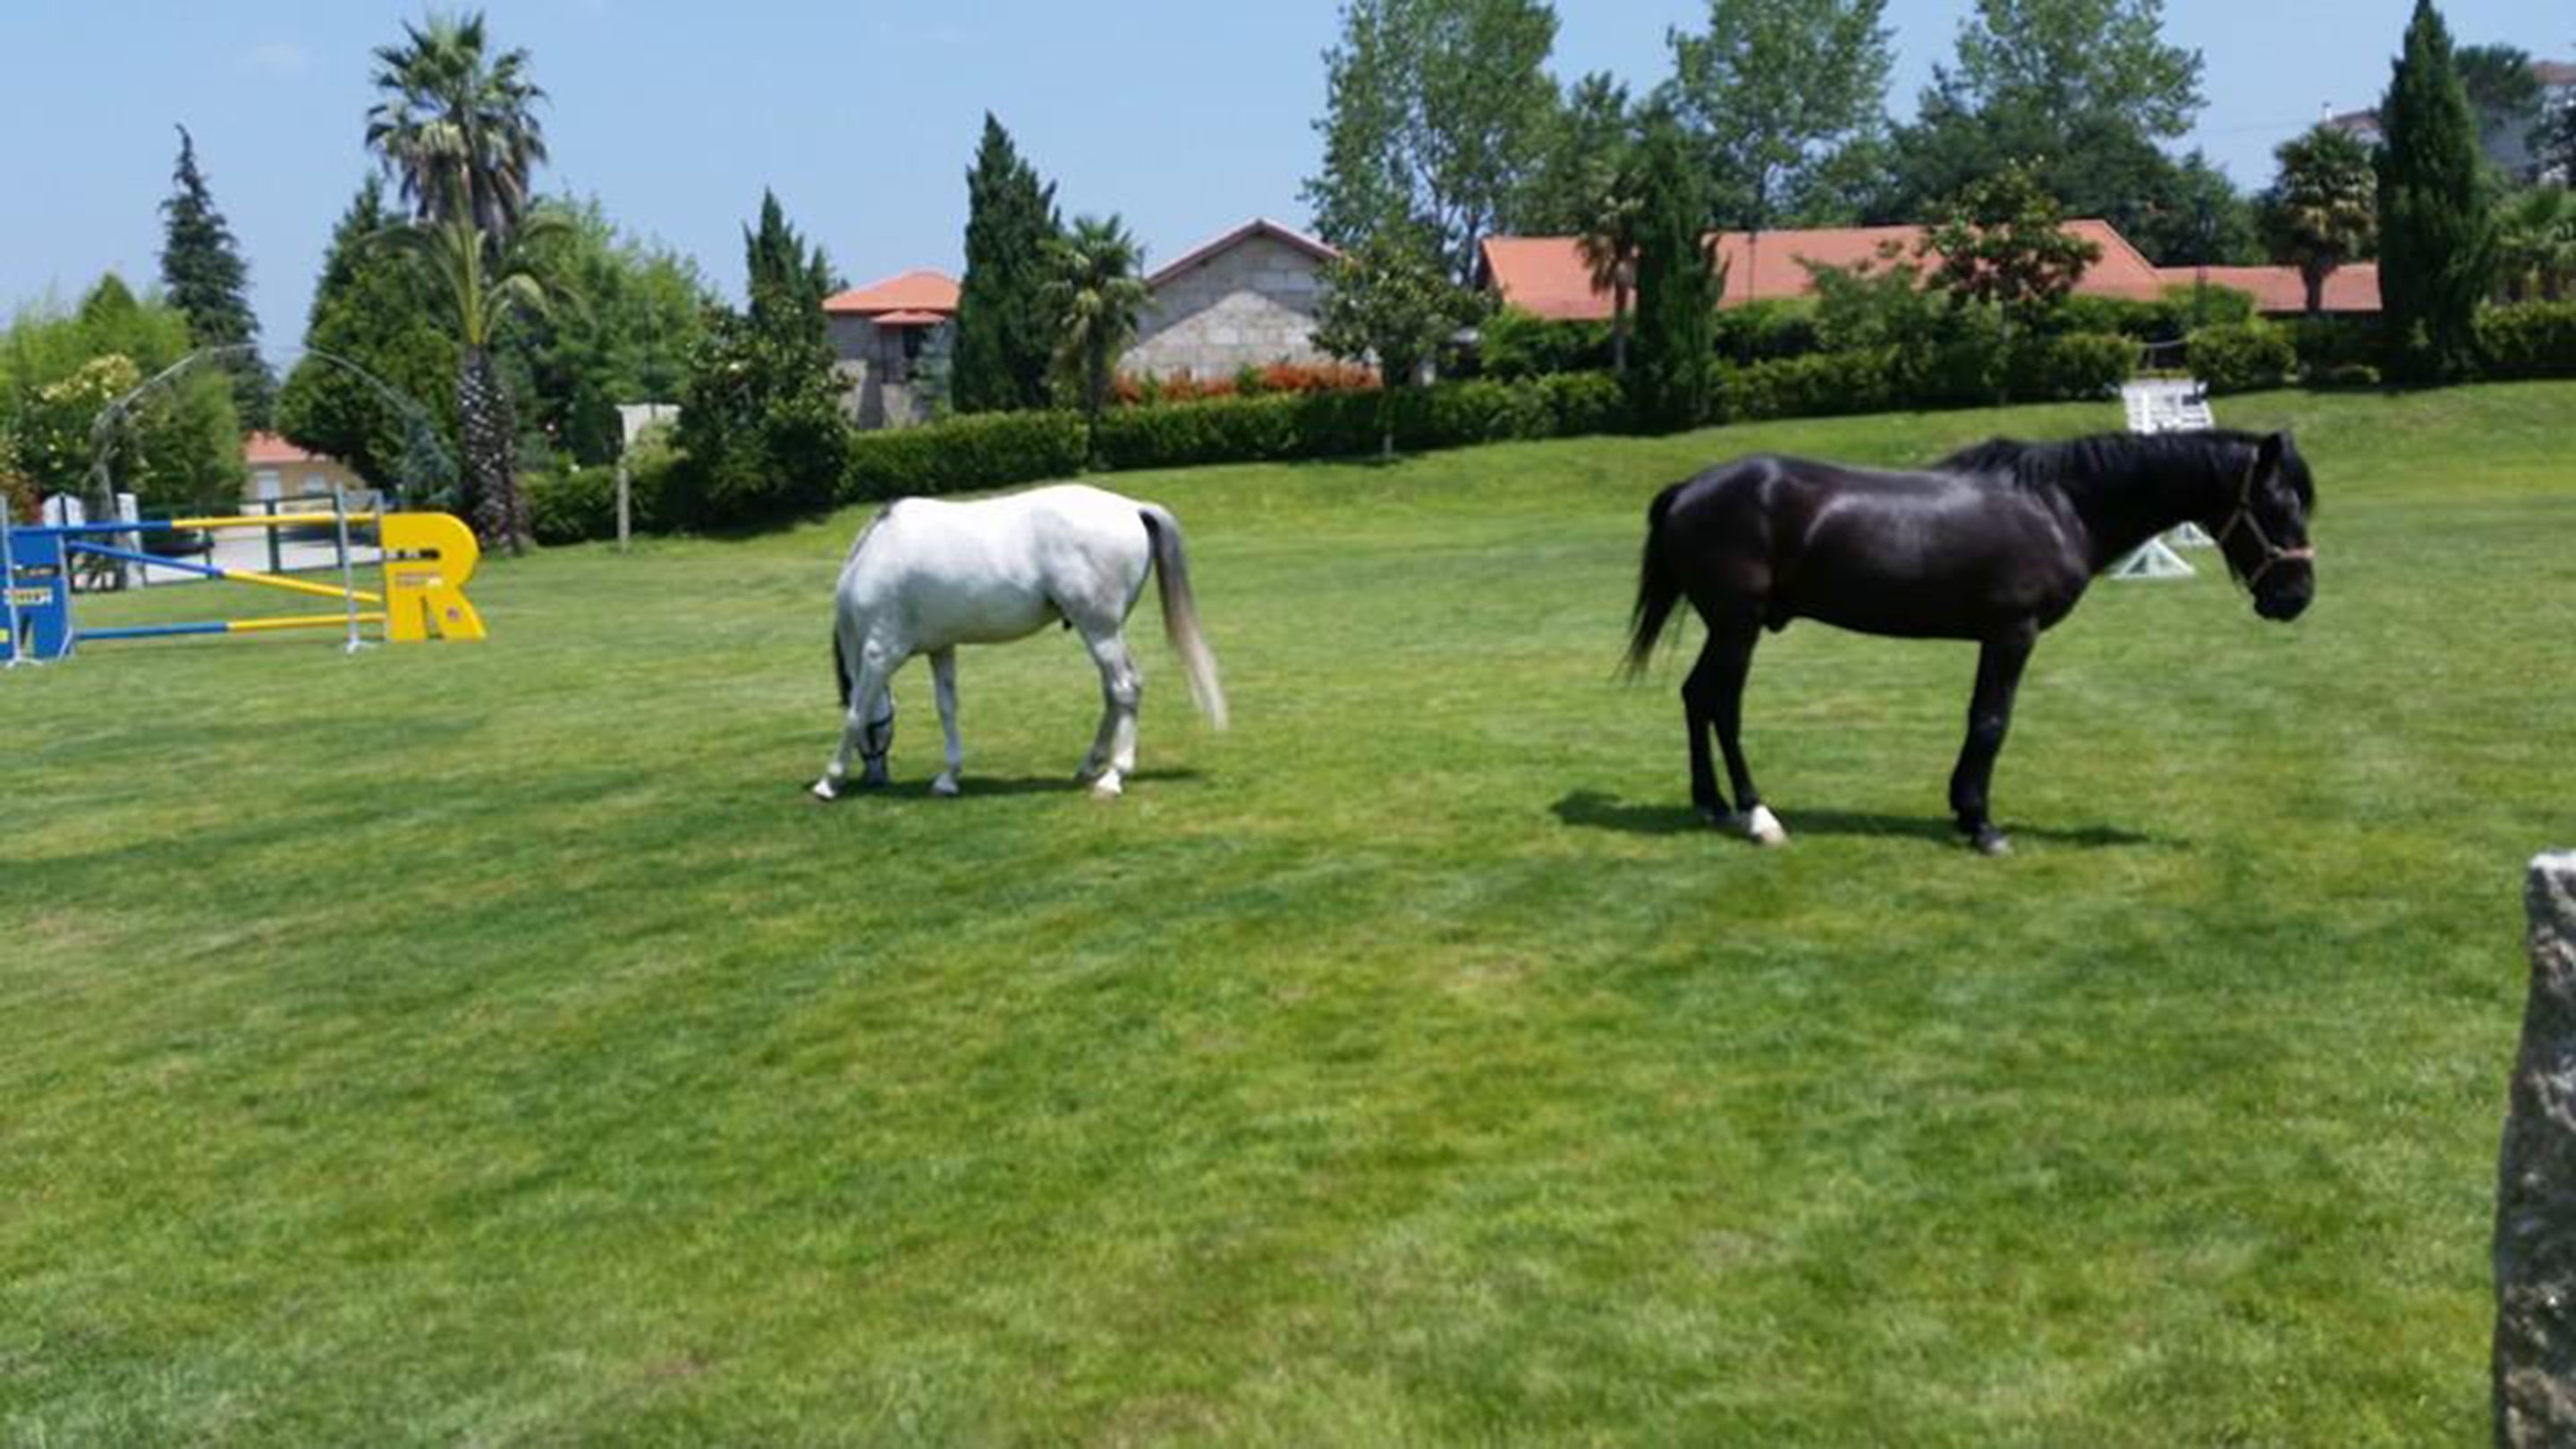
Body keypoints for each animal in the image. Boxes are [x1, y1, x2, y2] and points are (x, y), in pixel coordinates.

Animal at [810, 483, 1227, 803]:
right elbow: (947, 709)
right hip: (1102, 632)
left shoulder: (881, 653)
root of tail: (1131, 508)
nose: (876, 777)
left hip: (1100, 630)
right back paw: (1090, 765)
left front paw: (828, 781)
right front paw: (948, 778)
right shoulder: (941, 649)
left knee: (1126, 688)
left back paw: (1113, 777)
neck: (874, 558)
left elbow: (856, 713)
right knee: (1113, 692)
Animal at [1624, 428, 2317, 855]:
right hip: (1738, 626)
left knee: (1696, 697)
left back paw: (1711, 804)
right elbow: (1990, 721)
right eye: (2279, 508)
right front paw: (1981, 824)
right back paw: (1757, 815)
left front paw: (1965, 811)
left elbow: (1981, 720)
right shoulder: (2012, 632)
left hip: (1724, 627)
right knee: (1723, 706)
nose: (2297, 597)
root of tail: (1689, 489)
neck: (2060, 505)